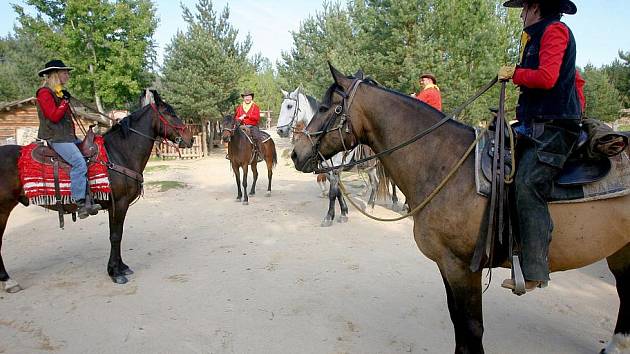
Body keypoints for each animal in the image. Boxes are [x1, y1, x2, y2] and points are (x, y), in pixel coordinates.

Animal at [0, 89, 194, 290]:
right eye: (170, 114)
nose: (191, 139)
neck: (119, 153)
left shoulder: (113, 205)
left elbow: (115, 234)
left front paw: (120, 267)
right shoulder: (120, 203)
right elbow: (116, 236)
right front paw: (116, 273)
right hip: (3, 208)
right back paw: (8, 280)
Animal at [294, 64, 630, 354]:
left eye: (326, 107)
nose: (297, 153)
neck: (445, 163)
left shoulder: (462, 267)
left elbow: (471, 328)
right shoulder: (447, 265)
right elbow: (459, 324)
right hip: (620, 250)